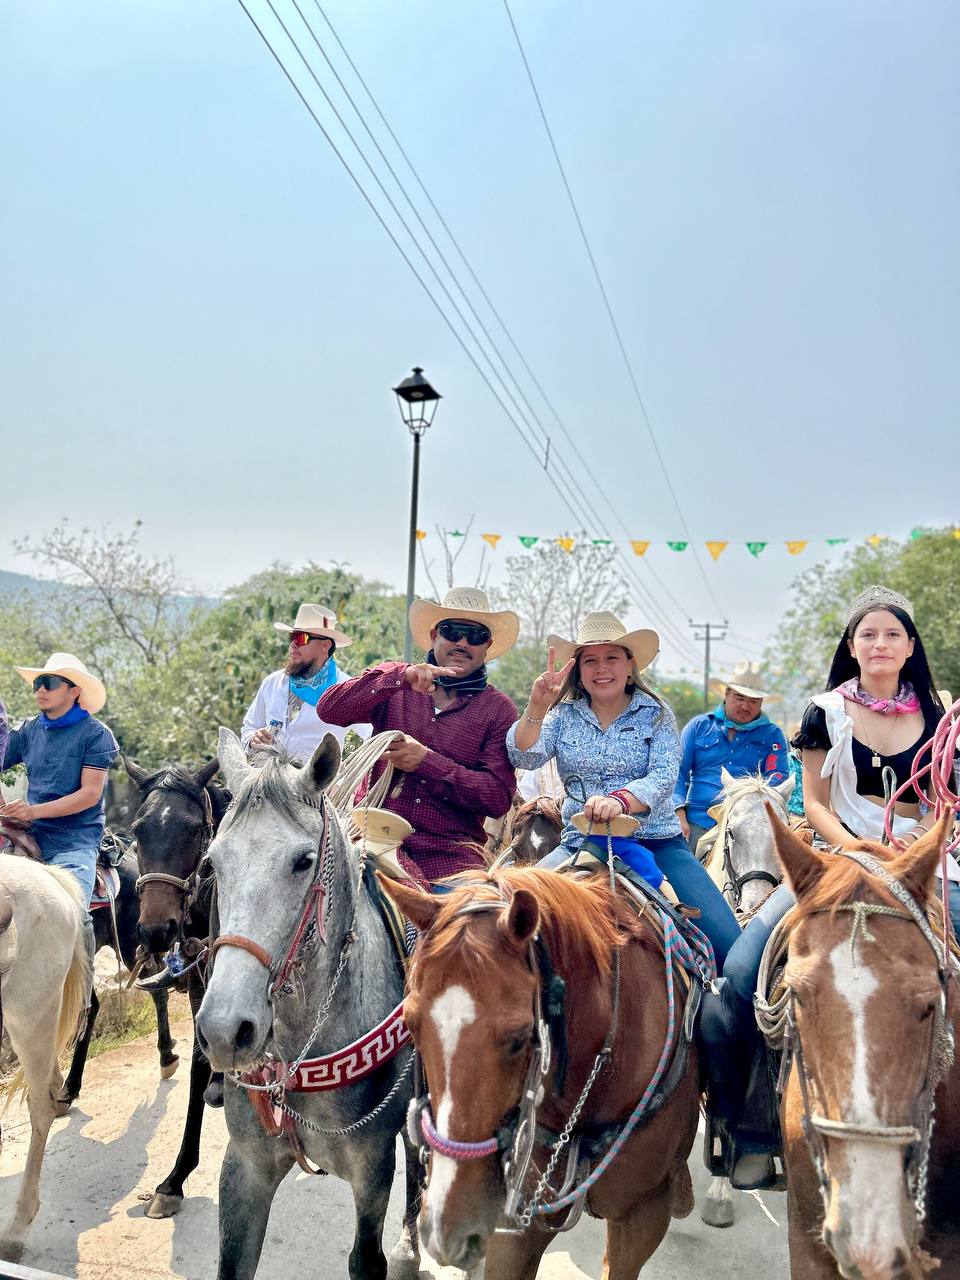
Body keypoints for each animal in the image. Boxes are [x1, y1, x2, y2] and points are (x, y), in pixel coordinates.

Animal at [195, 732, 419, 1280]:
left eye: (302, 861)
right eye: (214, 862)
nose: (225, 1031)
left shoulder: (373, 1165)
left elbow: (366, 1259)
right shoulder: (246, 1167)